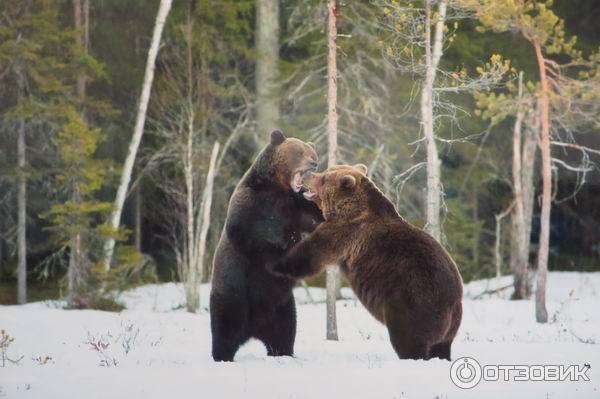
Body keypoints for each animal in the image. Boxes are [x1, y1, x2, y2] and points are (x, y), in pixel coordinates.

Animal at [210, 131, 324, 362]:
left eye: (312, 152)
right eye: (300, 152)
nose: (315, 162)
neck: (278, 188)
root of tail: (253, 330)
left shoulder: (296, 207)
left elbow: (315, 217)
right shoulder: (252, 205)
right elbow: (252, 235)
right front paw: (282, 247)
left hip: (282, 306)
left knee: (285, 332)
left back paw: (283, 353)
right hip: (233, 295)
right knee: (225, 330)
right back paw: (222, 356)